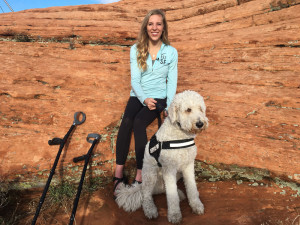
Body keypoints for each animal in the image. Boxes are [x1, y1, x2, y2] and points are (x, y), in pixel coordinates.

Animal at [115, 90, 209, 224]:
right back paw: (150, 210)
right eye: (188, 110)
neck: (180, 134)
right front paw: (174, 215)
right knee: (147, 195)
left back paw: (179, 194)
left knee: (165, 190)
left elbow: (192, 187)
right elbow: (171, 196)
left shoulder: (188, 165)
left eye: (200, 109)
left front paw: (196, 205)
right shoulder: (169, 169)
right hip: (150, 175)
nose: (200, 124)